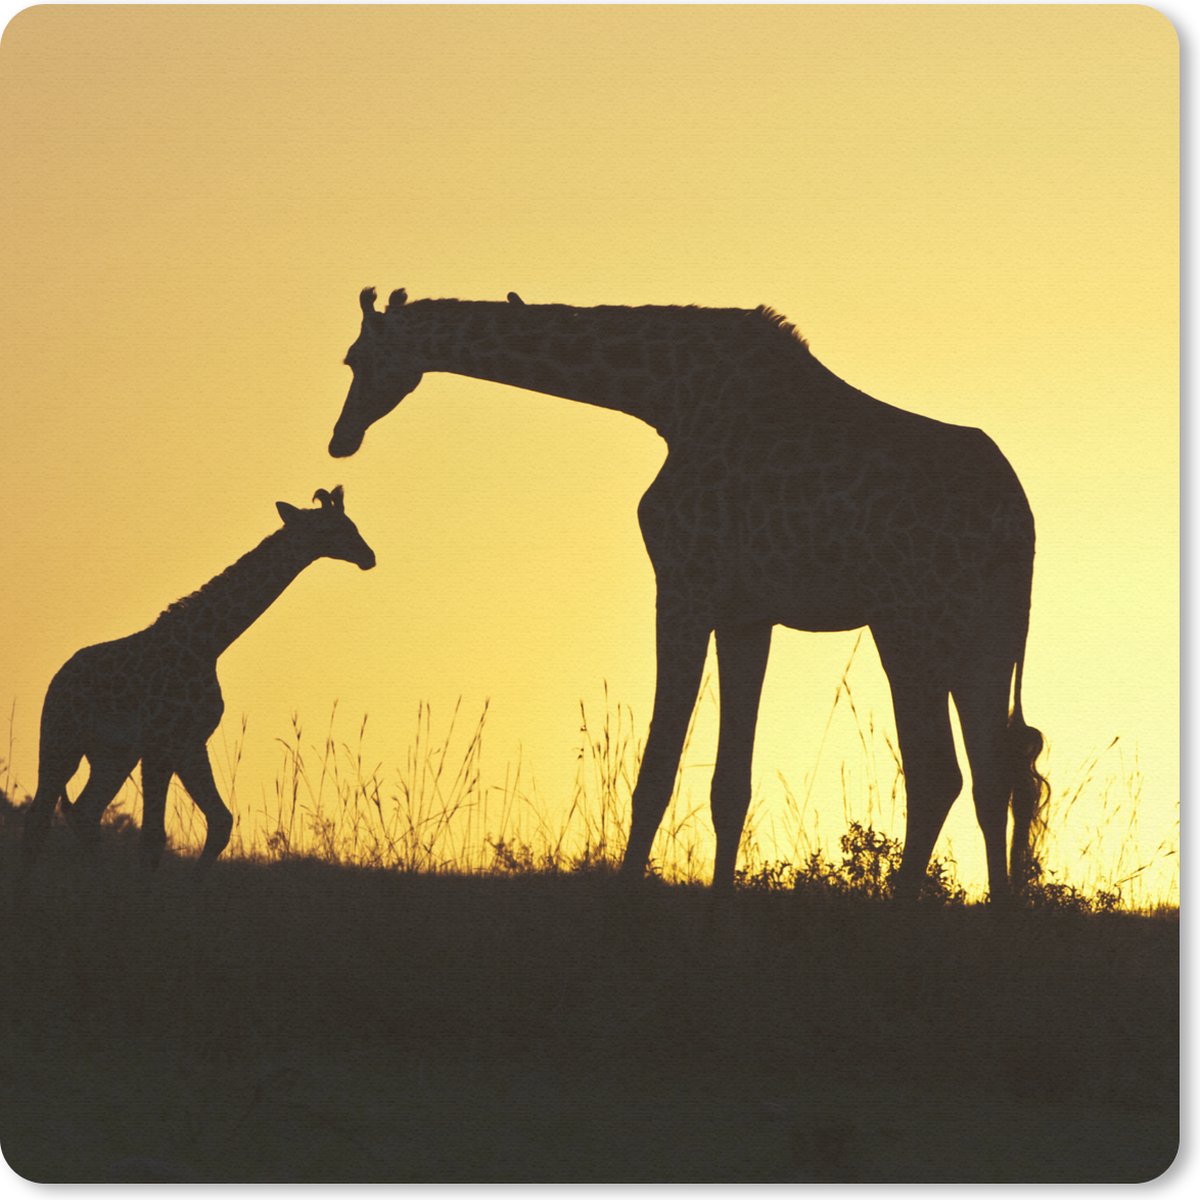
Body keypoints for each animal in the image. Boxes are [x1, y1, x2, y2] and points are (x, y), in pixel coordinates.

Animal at [24, 487, 376, 871]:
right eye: (333, 528)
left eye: (351, 523)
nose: (368, 556)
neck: (207, 645)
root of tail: (58, 678)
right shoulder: (160, 744)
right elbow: (153, 837)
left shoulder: (190, 742)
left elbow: (220, 821)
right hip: (61, 740)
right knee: (40, 817)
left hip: (112, 755)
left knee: (86, 812)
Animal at [329, 288, 1047, 900]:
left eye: (355, 359)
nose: (341, 438)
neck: (667, 396)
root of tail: (1018, 522)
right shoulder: (747, 614)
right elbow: (730, 784)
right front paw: (717, 913)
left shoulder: (683, 587)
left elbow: (657, 769)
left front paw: (623, 903)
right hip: (987, 635)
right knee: (996, 770)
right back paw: (1000, 917)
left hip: (910, 625)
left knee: (939, 771)